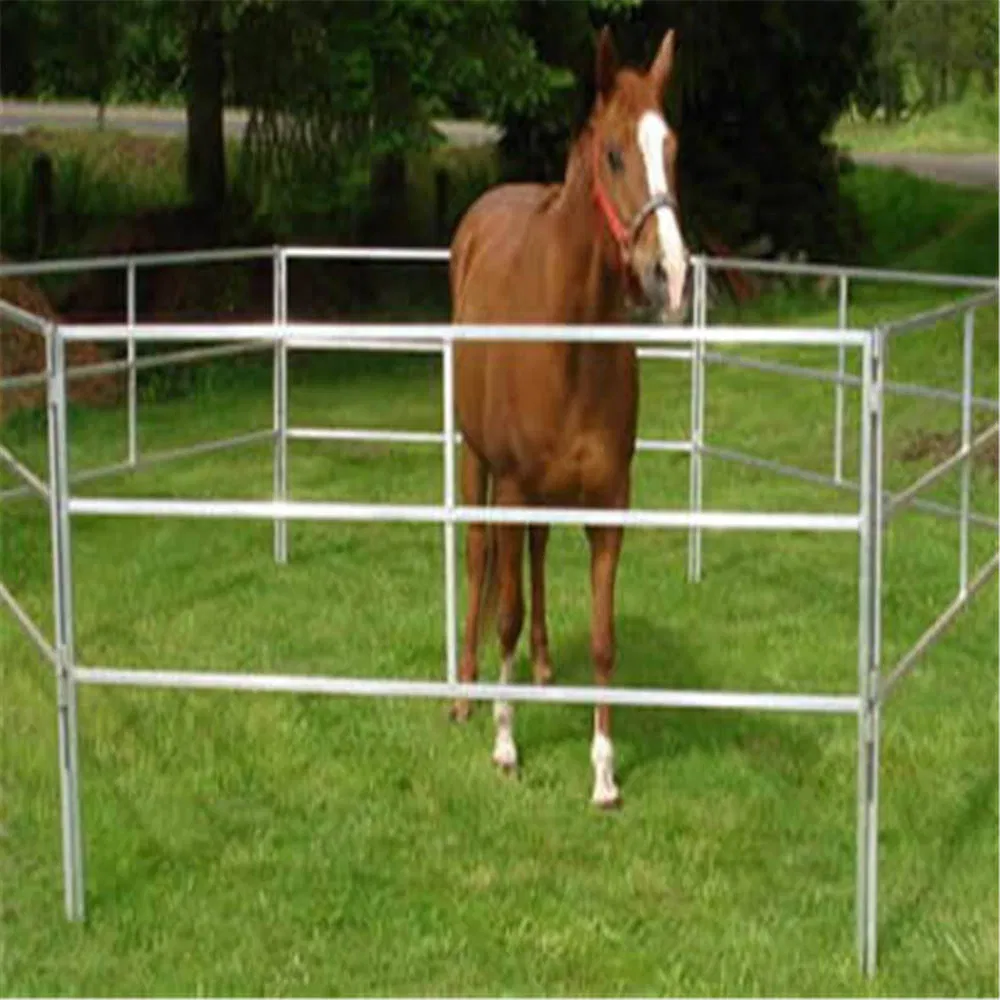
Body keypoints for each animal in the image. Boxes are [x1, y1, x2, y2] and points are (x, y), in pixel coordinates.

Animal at [448, 26, 690, 808]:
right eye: (613, 153)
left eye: (672, 148)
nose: (668, 275)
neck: (571, 344)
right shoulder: (513, 486)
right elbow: (505, 614)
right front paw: (505, 743)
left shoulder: (610, 501)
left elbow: (606, 639)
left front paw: (605, 772)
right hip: (475, 460)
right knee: (481, 559)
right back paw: (463, 691)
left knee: (535, 553)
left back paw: (546, 667)